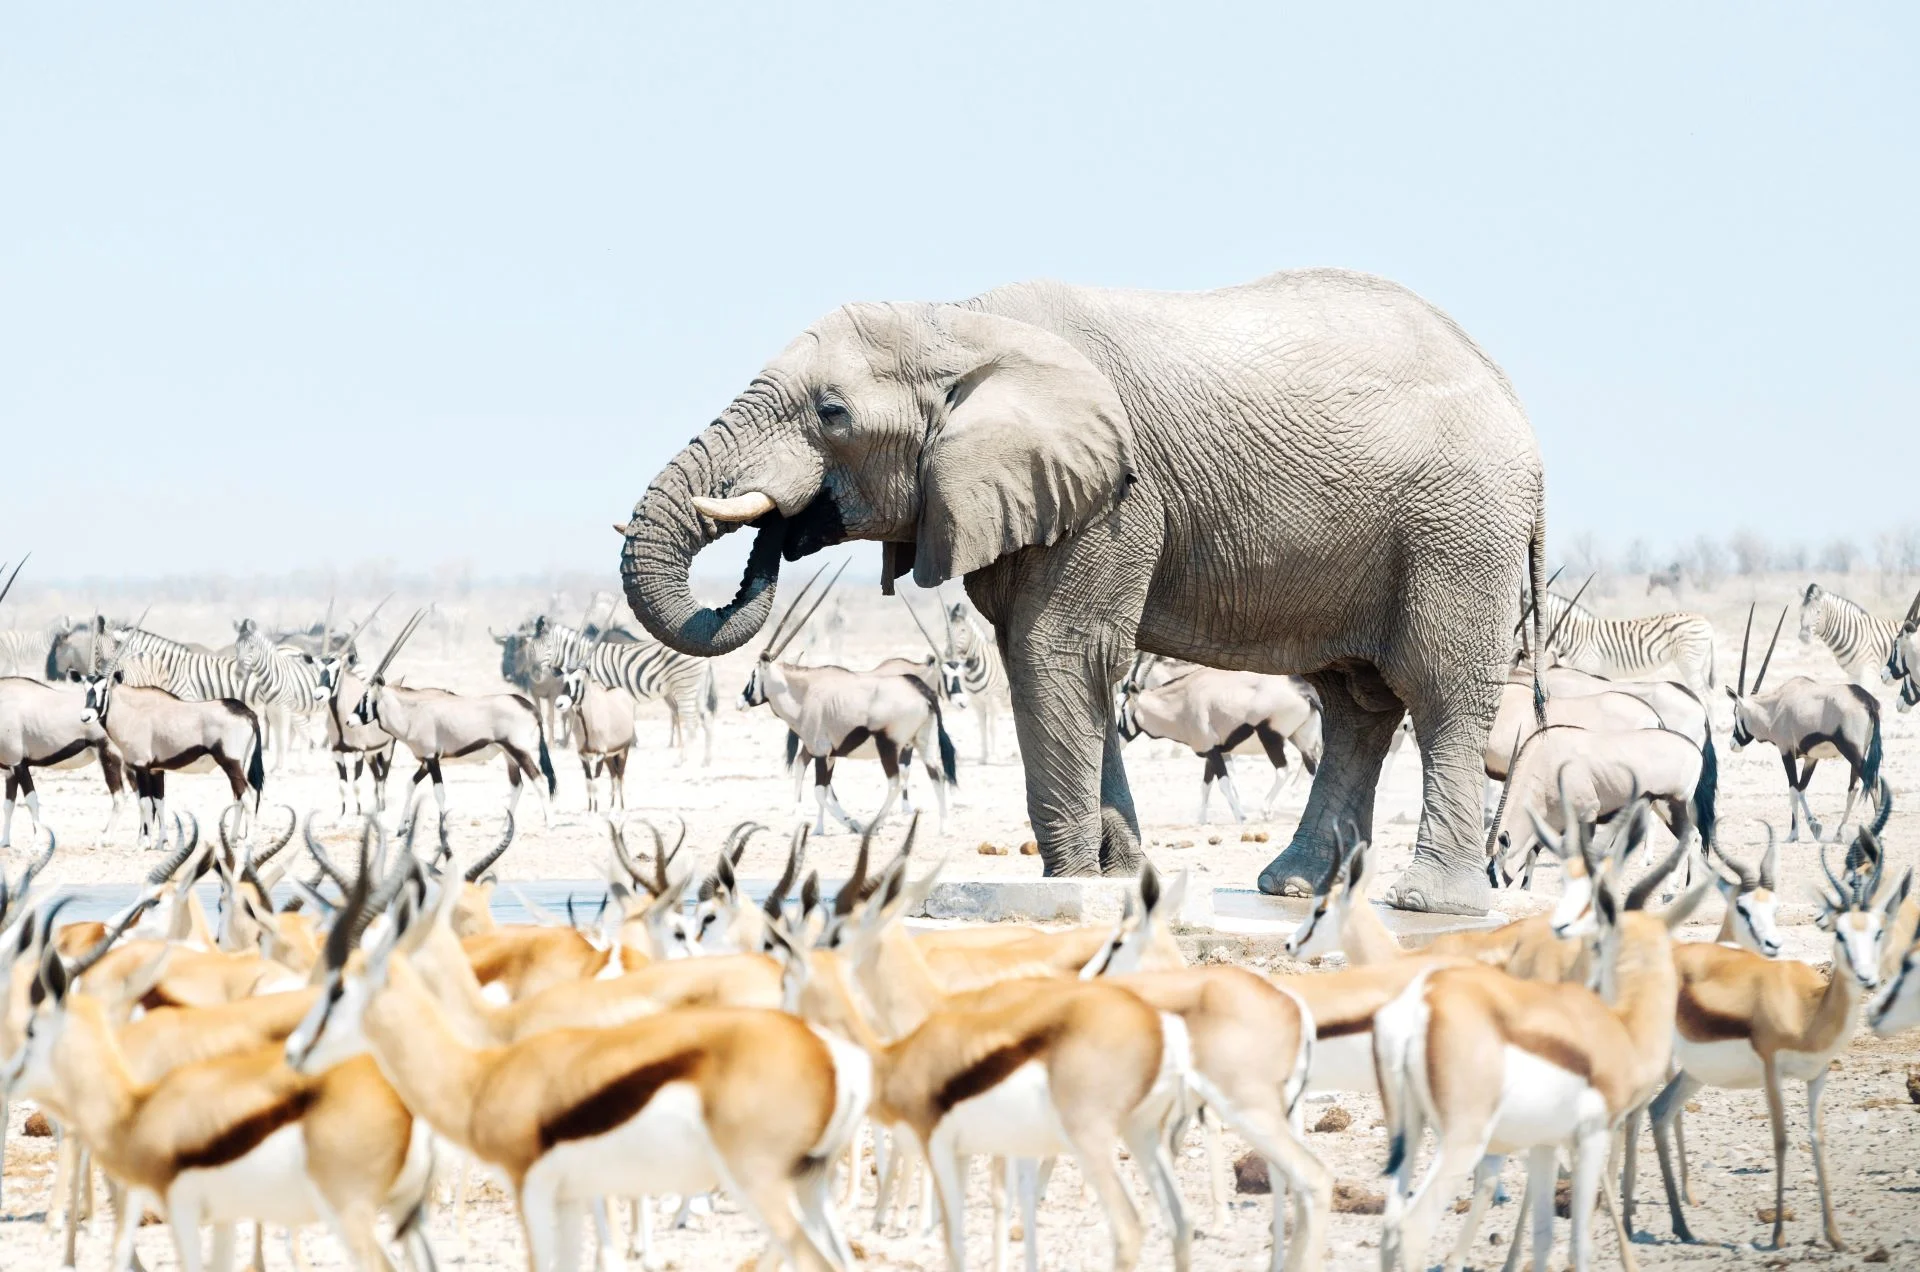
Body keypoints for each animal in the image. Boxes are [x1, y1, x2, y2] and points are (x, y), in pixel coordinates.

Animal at [522, 618, 718, 768]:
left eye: (548, 646)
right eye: (531, 649)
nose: (535, 674)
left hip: (685, 687)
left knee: (692, 725)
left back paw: (681, 760)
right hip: (697, 690)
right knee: (707, 721)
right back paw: (706, 760)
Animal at [940, 603, 1013, 760]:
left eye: (963, 630)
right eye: (947, 630)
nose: (948, 653)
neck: (972, 670)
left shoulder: (994, 700)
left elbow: (992, 727)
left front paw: (994, 756)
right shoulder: (976, 702)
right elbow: (982, 728)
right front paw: (984, 757)